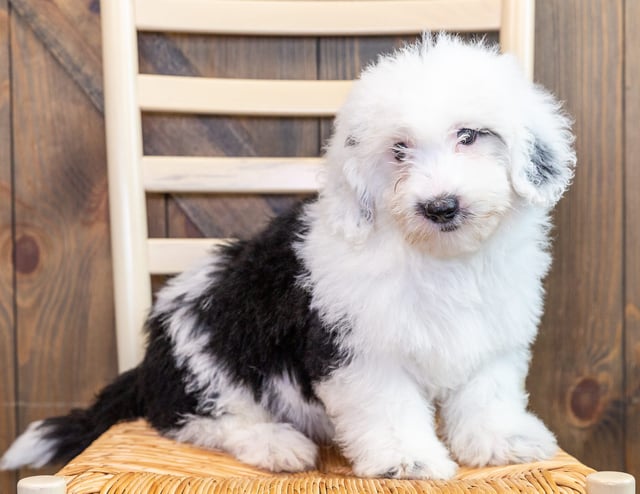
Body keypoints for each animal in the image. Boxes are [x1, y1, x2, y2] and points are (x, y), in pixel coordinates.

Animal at [1, 33, 576, 478]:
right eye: (398, 151)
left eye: (471, 135)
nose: (440, 206)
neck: (440, 258)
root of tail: (146, 365)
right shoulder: (357, 347)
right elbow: (388, 404)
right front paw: (407, 460)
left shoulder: (492, 332)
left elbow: (487, 390)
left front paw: (501, 441)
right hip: (207, 337)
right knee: (197, 419)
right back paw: (275, 444)